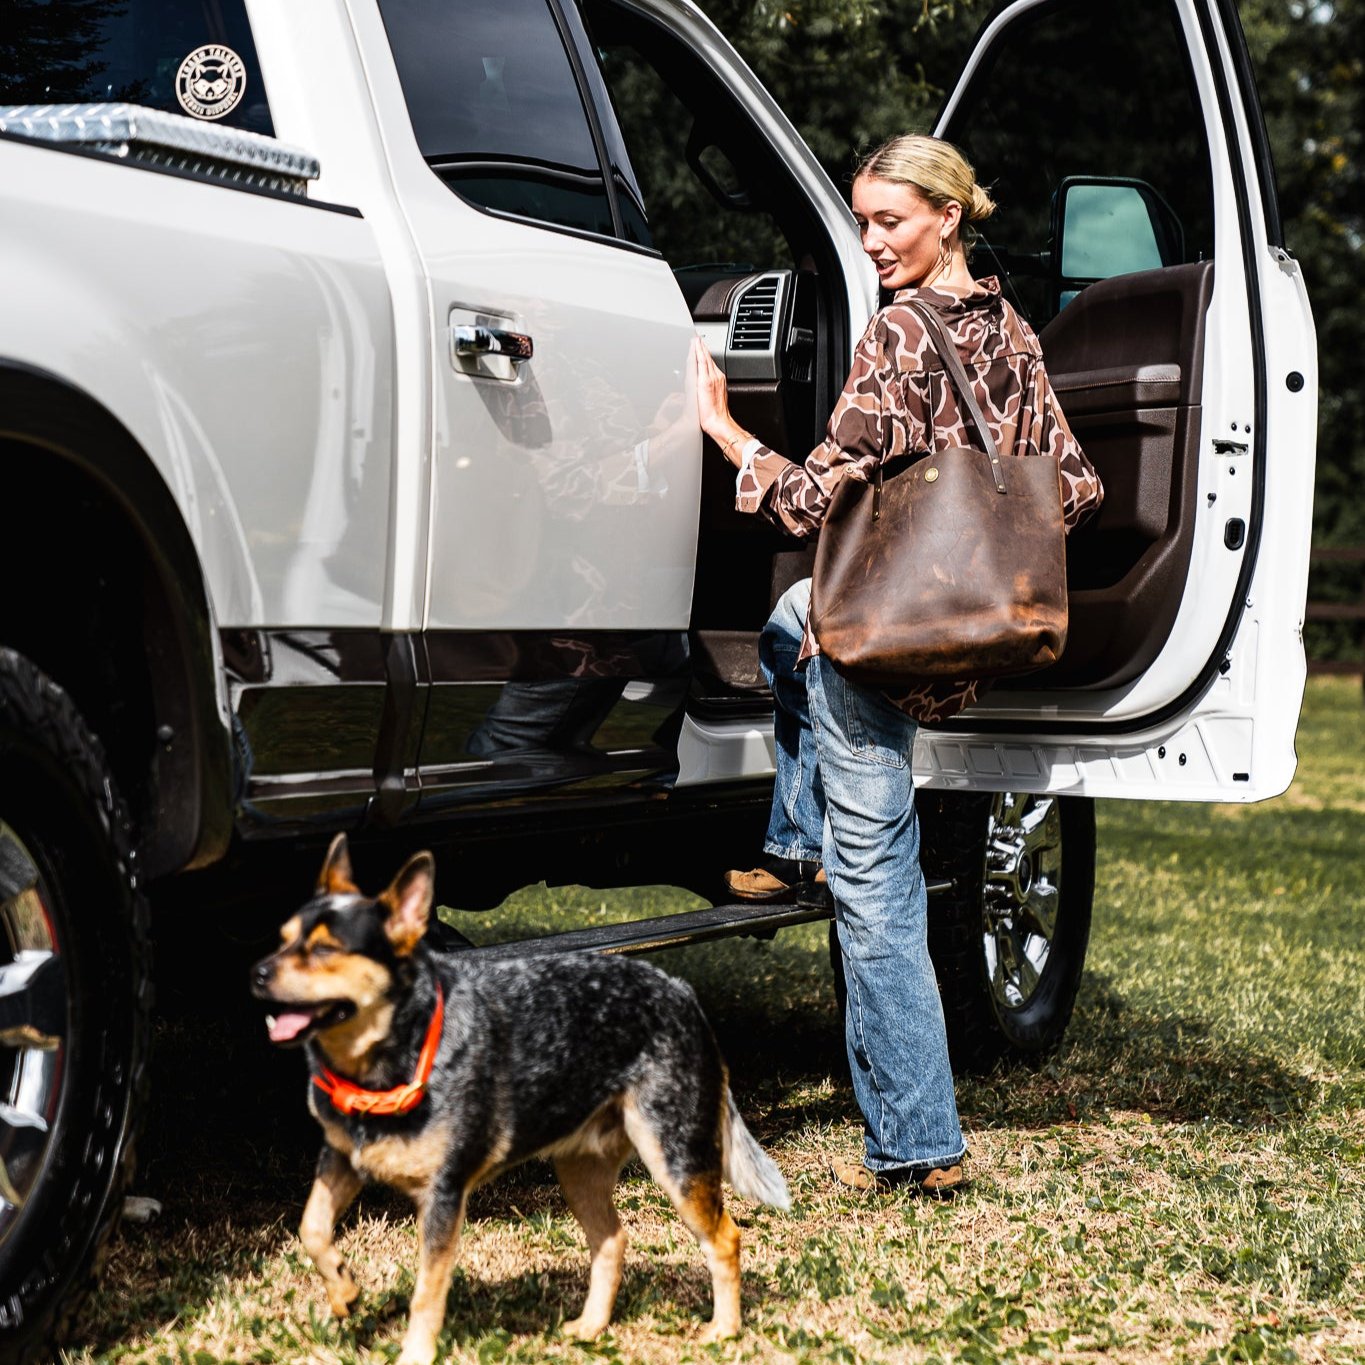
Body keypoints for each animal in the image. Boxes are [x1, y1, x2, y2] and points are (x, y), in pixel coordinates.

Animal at [248, 829, 791, 1365]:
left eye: (325, 950)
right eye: (283, 938)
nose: (256, 973)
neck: (391, 1057)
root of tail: (681, 992)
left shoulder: (443, 1196)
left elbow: (427, 1293)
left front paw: (414, 1353)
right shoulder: (340, 1157)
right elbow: (312, 1229)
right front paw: (343, 1290)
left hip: (674, 1157)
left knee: (725, 1238)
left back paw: (724, 1331)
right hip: (579, 1169)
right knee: (612, 1240)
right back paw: (591, 1327)